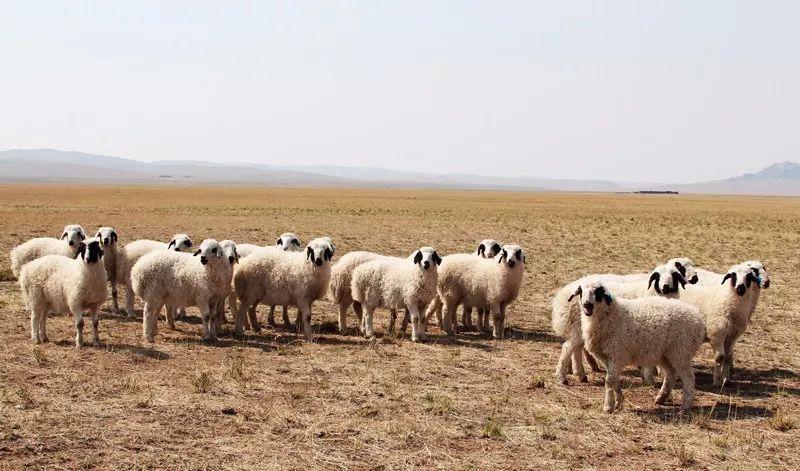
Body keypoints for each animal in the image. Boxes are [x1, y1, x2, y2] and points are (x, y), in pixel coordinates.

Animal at [552, 264, 692, 386]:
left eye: (674, 275)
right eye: (658, 276)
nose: (665, 287)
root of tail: (562, 295)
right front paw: (654, 375)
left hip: (581, 330)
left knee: (577, 349)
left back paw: (581, 374)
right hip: (578, 328)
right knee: (568, 347)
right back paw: (563, 377)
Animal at [572, 280, 704, 412]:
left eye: (598, 292)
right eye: (581, 291)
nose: (587, 305)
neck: (611, 314)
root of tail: (697, 318)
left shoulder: (616, 354)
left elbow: (609, 381)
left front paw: (608, 407)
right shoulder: (606, 357)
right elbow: (615, 380)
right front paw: (619, 402)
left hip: (681, 351)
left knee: (689, 378)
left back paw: (686, 405)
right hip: (665, 354)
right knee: (671, 374)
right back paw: (661, 398)